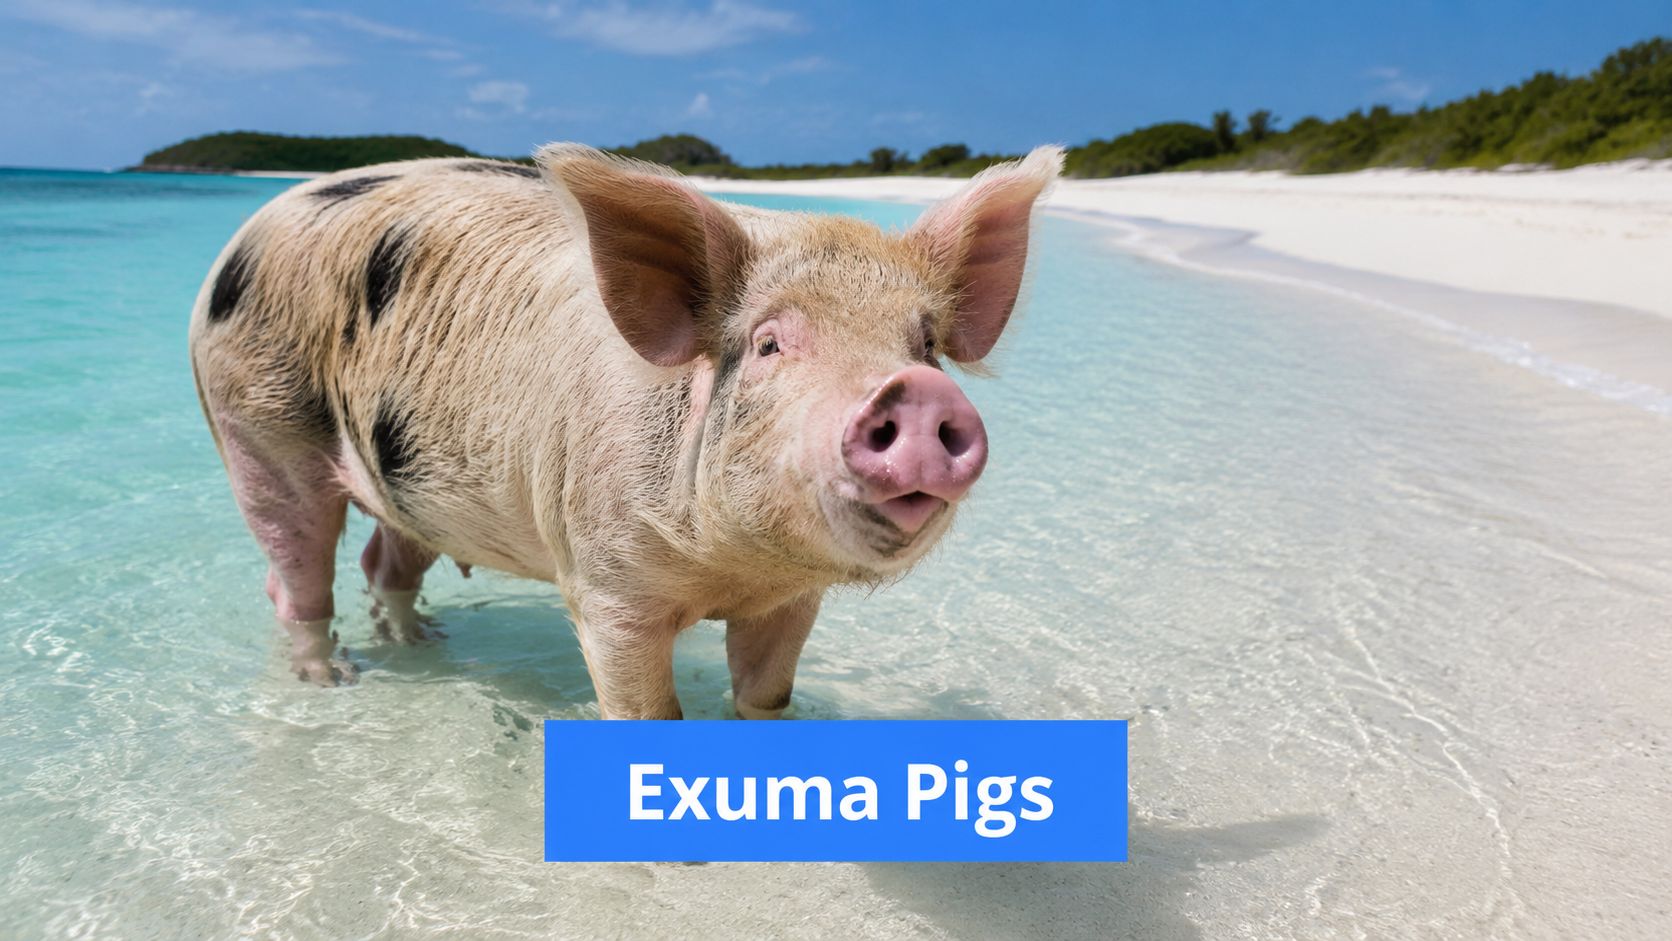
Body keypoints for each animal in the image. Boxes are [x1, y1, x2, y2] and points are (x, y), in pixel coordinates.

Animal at [188, 143, 1062, 719]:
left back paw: (426, 643)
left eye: (925, 344)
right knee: (295, 575)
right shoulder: (604, 581)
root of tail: (242, 234)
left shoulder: (792, 598)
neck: (730, 568)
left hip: (419, 476)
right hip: (254, 426)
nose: (916, 392)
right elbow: (646, 710)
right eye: (769, 343)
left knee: (384, 560)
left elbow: (767, 695)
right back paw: (333, 681)